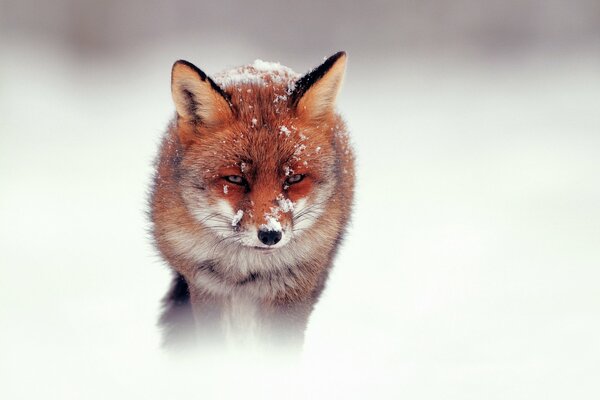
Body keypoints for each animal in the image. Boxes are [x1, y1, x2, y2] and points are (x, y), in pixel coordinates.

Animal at [149, 51, 354, 348]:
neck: (246, 269)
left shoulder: (292, 288)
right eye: (235, 179)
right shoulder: (205, 285)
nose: (270, 235)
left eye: (294, 178)